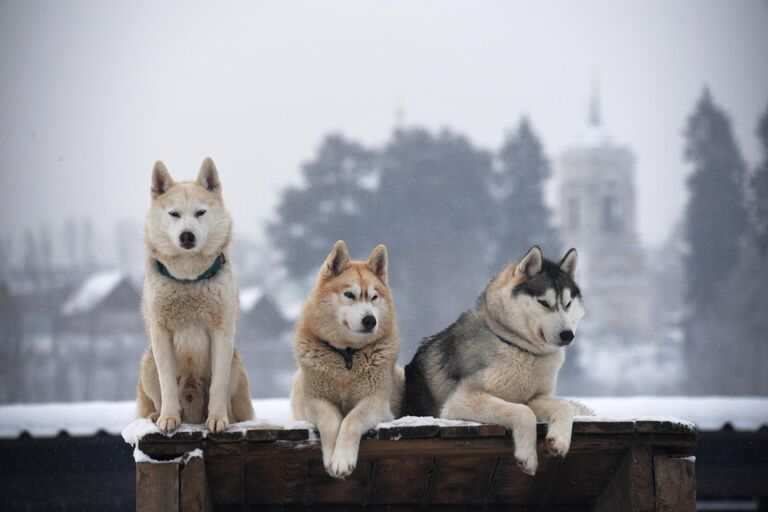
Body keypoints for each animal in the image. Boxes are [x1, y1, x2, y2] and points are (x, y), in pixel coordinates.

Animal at [290, 242, 408, 478]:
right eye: (349, 295)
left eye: (374, 297)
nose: (370, 320)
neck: (347, 355)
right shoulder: (315, 401)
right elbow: (330, 421)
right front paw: (331, 456)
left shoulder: (376, 401)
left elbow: (352, 419)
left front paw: (343, 459)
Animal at [402, 246, 588, 474]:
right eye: (544, 302)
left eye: (568, 304)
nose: (568, 335)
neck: (517, 345)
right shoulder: (462, 400)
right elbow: (524, 412)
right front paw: (527, 456)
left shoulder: (532, 397)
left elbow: (563, 406)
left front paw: (559, 439)